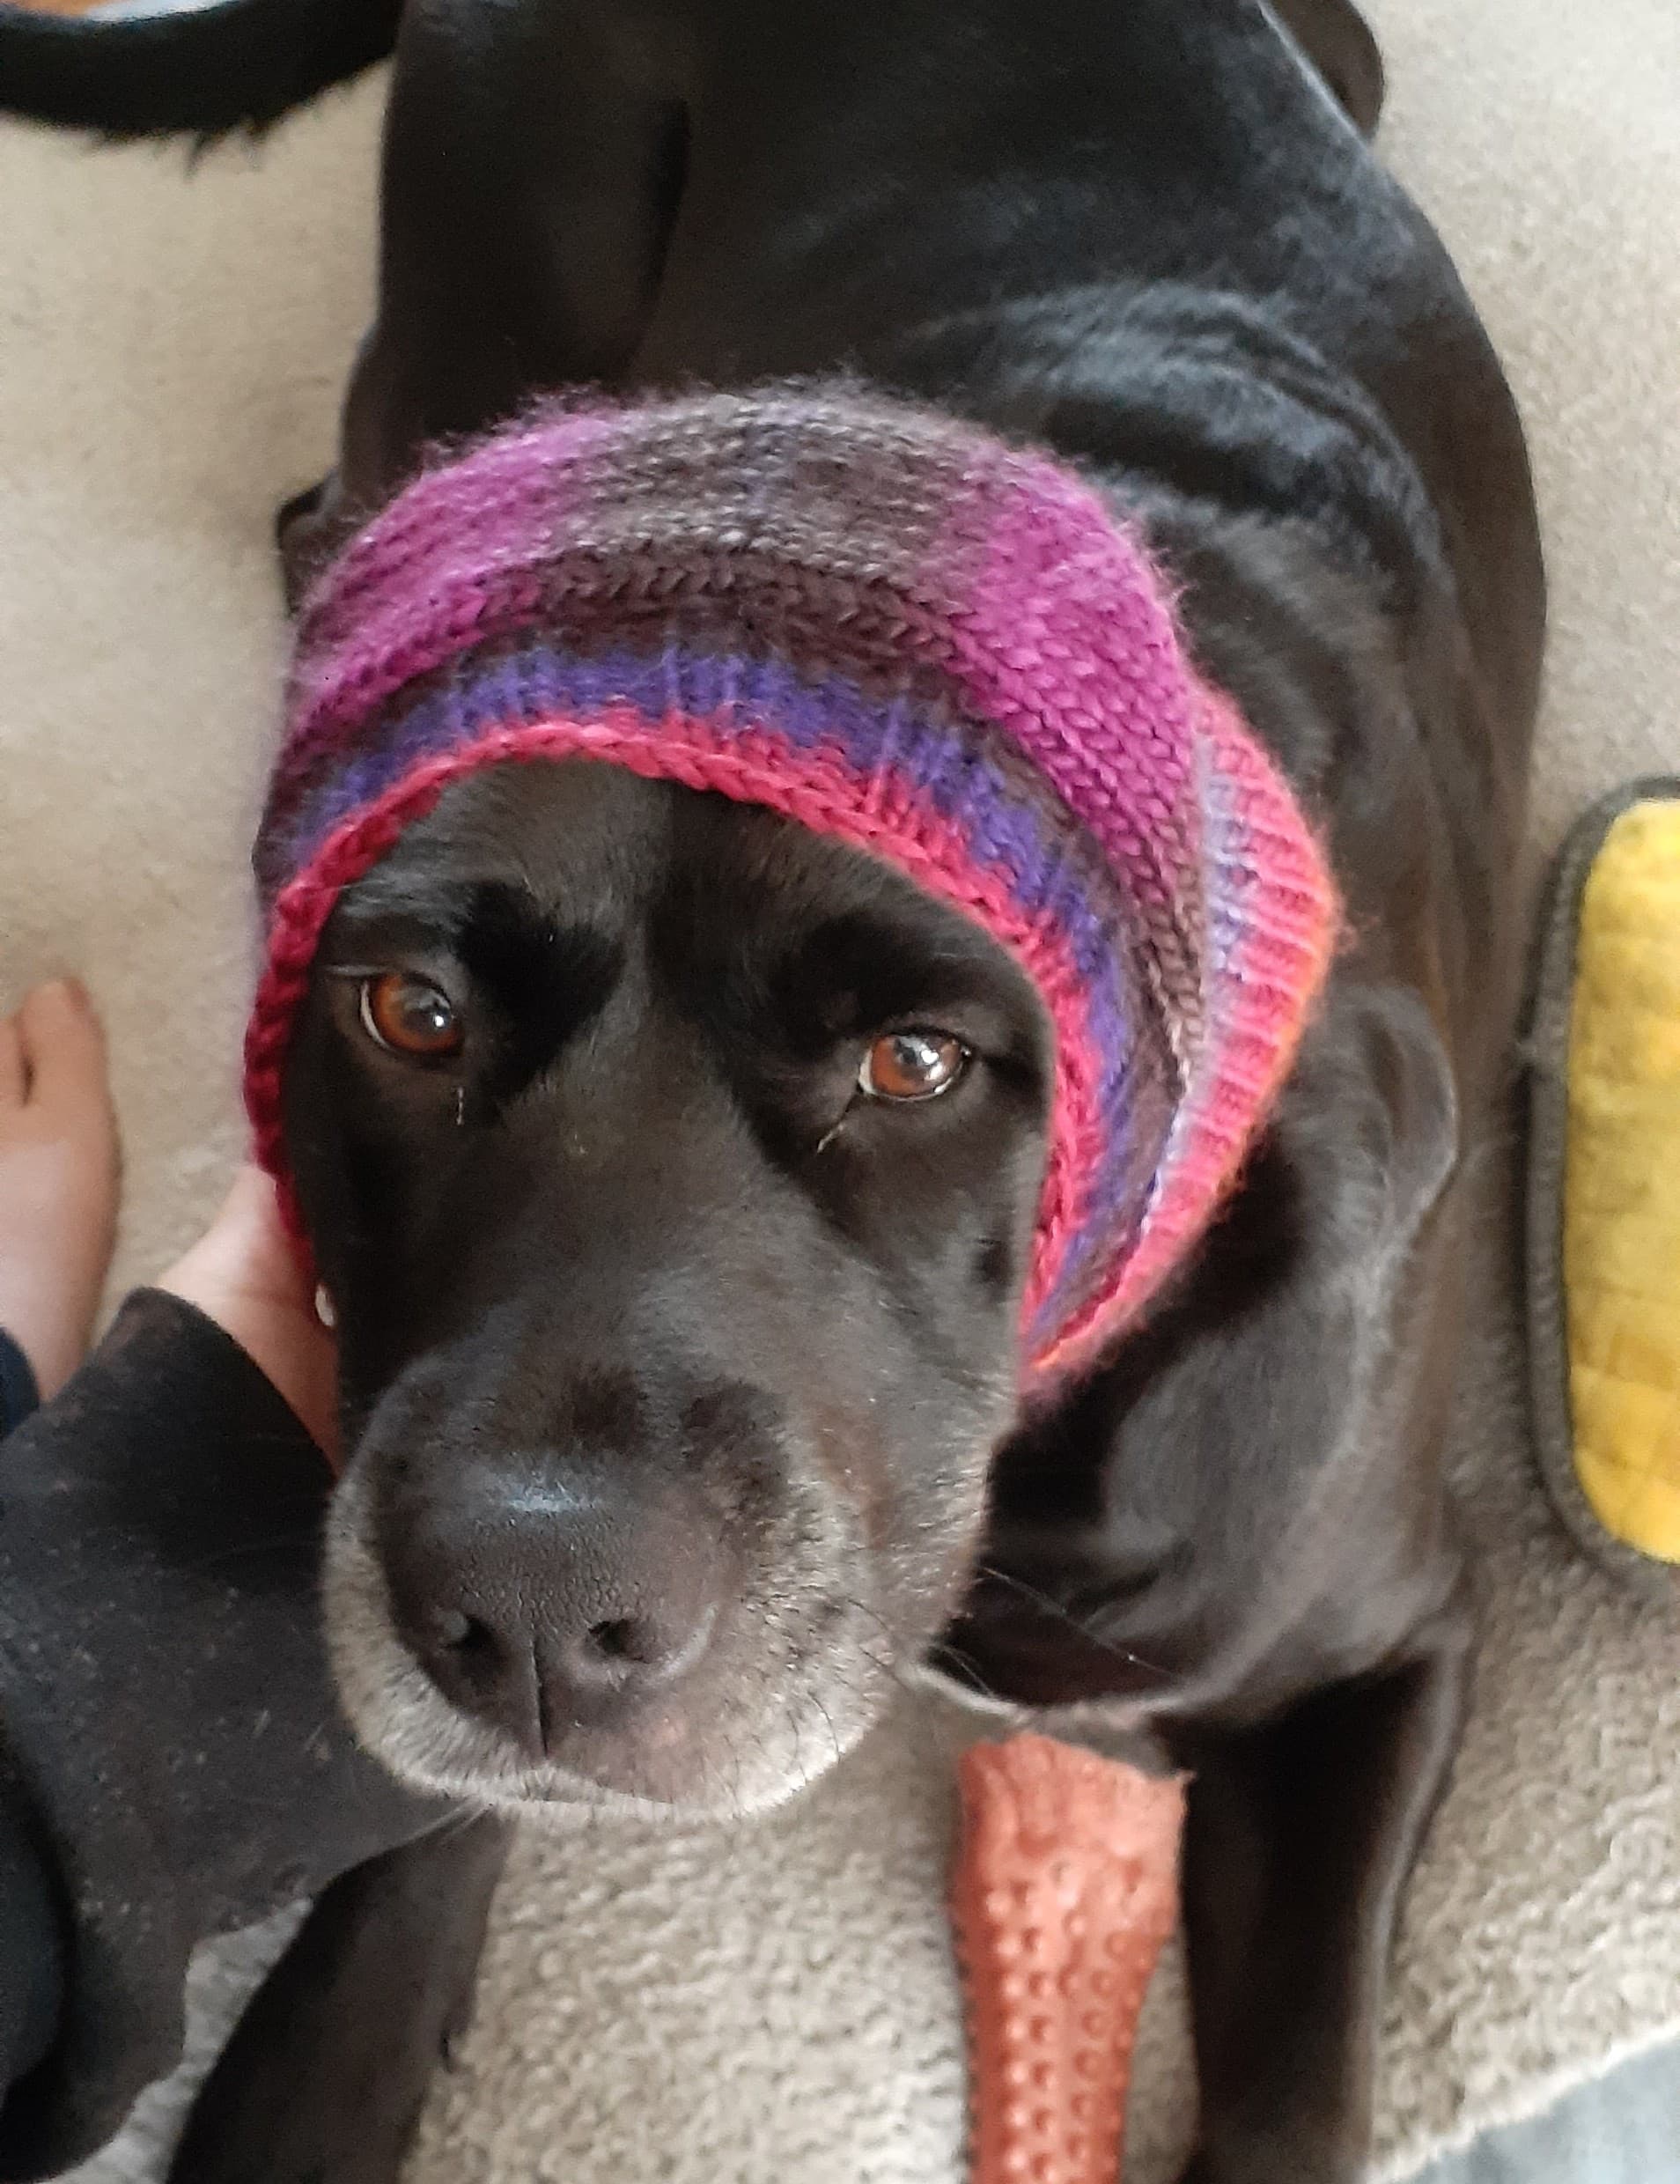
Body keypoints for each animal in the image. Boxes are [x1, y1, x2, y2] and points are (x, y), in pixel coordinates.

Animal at [0, 0, 1544, 2178]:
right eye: (409, 1013)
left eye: (917, 1062)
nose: (534, 1607)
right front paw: (327, 2046)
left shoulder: (1386, 1642)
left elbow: (1303, 2081)